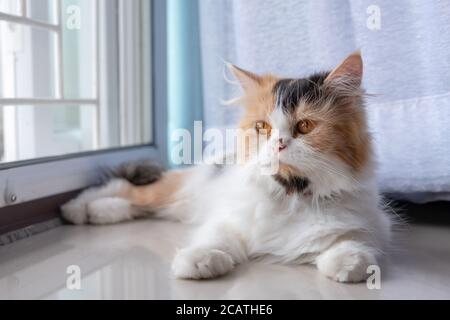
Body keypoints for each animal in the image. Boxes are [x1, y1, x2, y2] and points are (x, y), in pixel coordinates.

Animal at [60, 52, 394, 282]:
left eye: (305, 126)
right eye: (263, 127)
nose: (279, 144)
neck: (290, 194)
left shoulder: (369, 221)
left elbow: (350, 240)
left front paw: (348, 262)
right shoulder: (228, 218)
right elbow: (216, 237)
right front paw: (199, 261)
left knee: (143, 204)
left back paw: (102, 211)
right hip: (181, 188)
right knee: (129, 189)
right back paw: (79, 209)